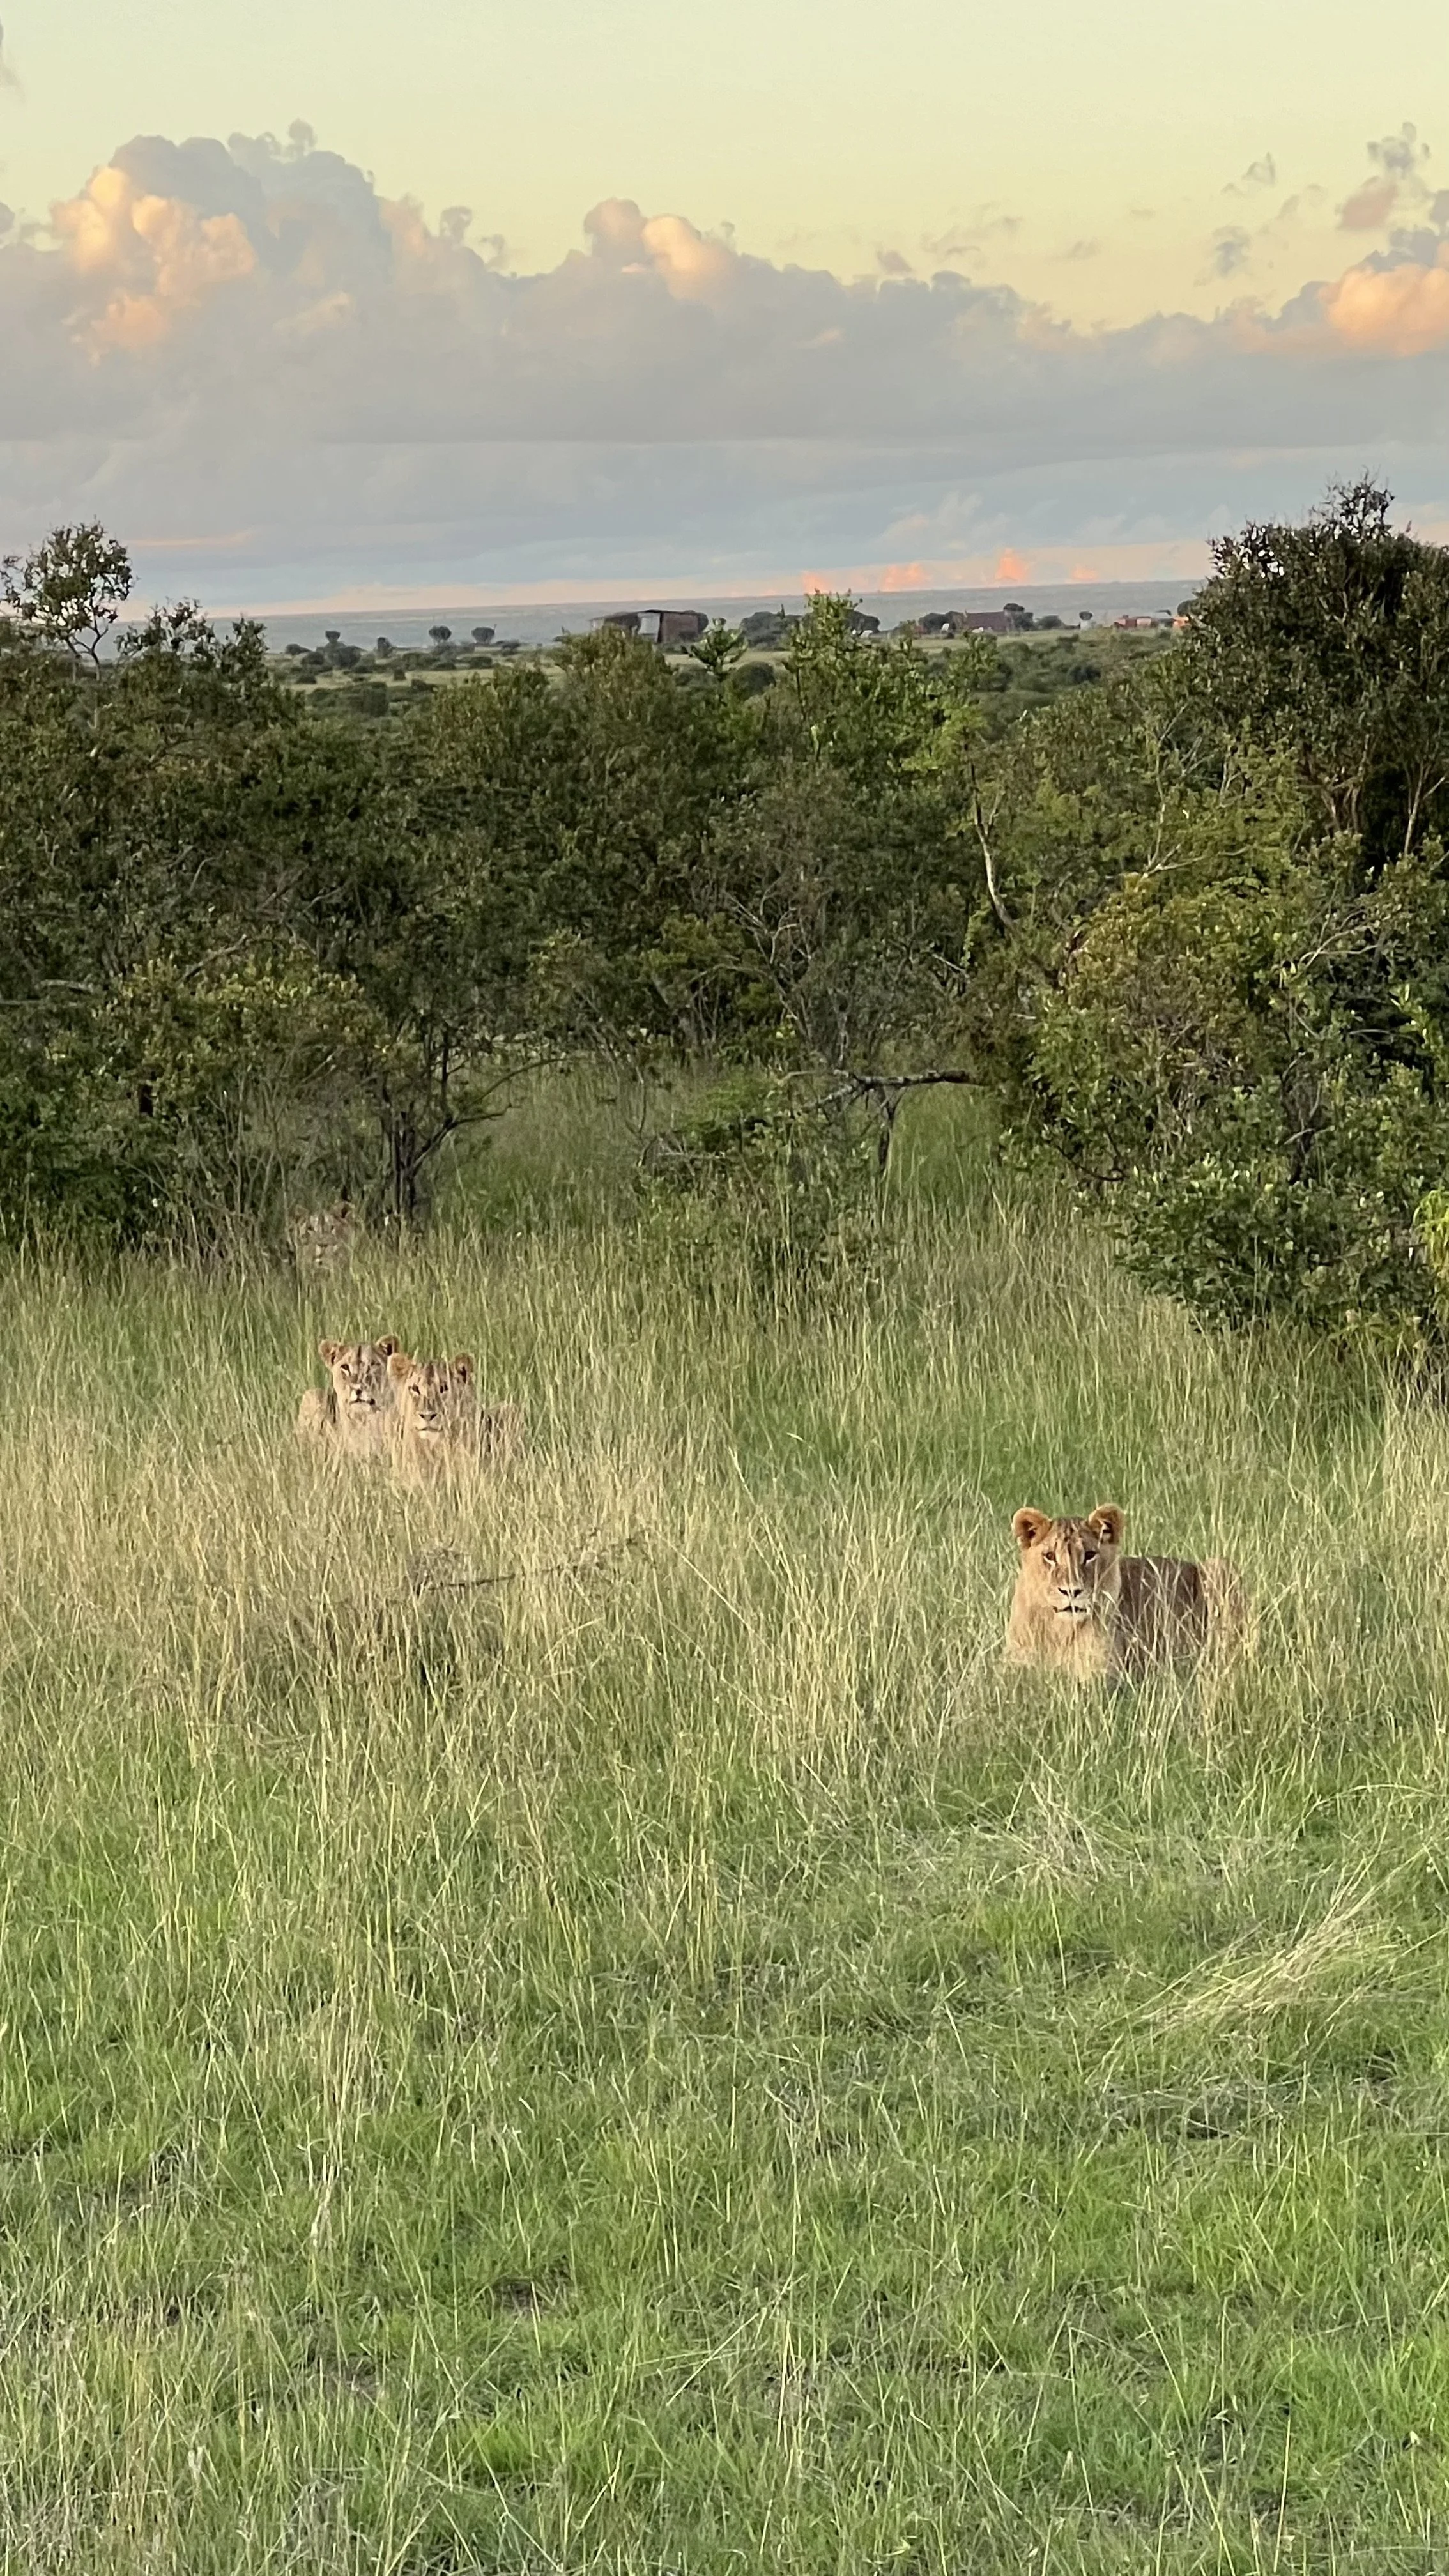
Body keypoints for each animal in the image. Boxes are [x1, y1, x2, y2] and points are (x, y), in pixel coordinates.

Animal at [1005, 1502, 1246, 1681]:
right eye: (1050, 1556)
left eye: (1090, 1555)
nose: (1071, 1591)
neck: (1059, 1630)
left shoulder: (1105, 1676)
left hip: (1219, 1566)